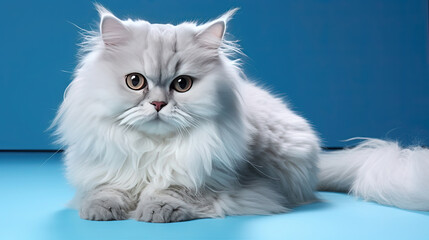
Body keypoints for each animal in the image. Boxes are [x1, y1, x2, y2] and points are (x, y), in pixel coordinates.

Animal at [53, 5, 428, 223]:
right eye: (135, 82)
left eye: (182, 85)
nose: (158, 105)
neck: (155, 151)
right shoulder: (106, 172)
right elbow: (107, 189)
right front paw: (100, 210)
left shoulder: (221, 183)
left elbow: (176, 190)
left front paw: (155, 209)